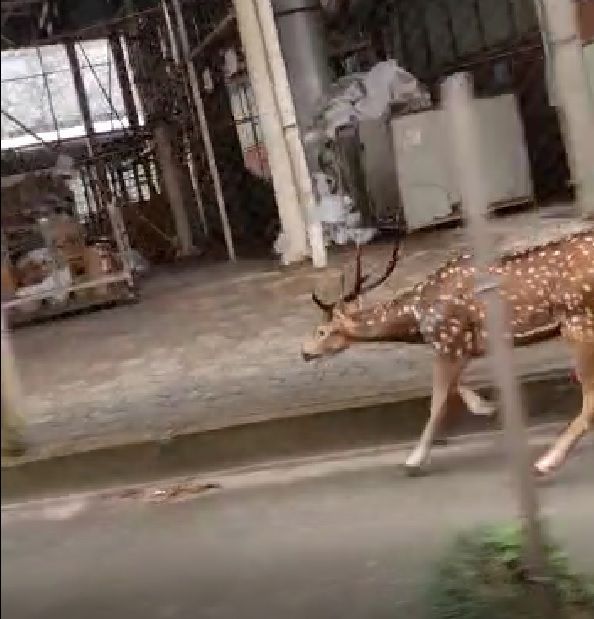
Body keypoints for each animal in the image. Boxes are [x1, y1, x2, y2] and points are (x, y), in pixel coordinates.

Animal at [300, 230, 592, 478]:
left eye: (321, 331)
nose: (304, 352)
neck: (418, 317)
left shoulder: (449, 339)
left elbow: (437, 403)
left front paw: (413, 460)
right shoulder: (463, 346)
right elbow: (454, 388)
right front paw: (484, 405)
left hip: (578, 322)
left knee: (589, 401)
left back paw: (544, 463)